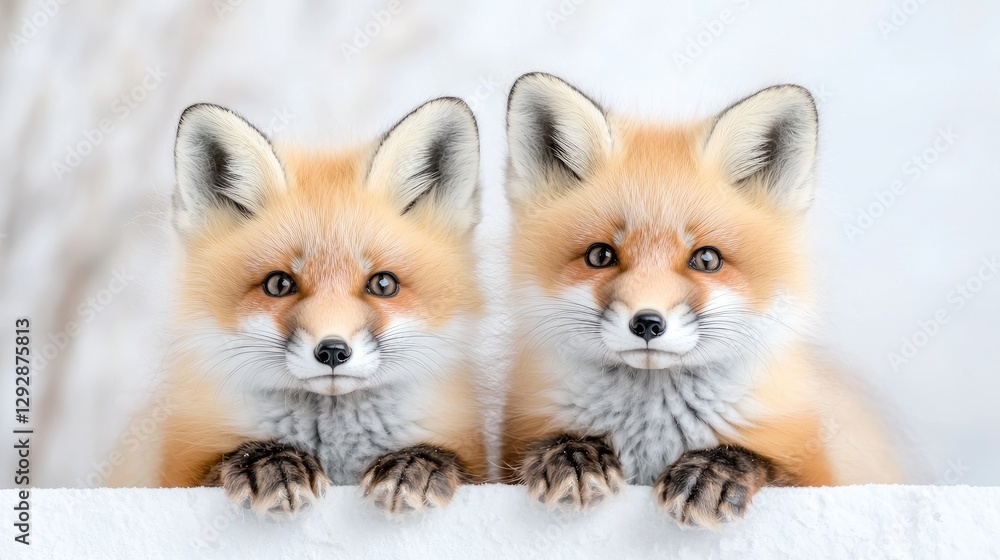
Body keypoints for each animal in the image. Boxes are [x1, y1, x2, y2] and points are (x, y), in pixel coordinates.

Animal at [111, 98, 487, 518]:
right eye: (279, 284)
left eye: (383, 284)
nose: (333, 351)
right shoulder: (171, 472)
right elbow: (223, 463)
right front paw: (270, 461)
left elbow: (457, 465)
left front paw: (413, 462)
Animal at [499, 73, 905, 527]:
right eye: (600, 256)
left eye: (706, 259)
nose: (647, 323)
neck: (653, 429)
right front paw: (573, 454)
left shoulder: (822, 474)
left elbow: (765, 464)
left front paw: (714, 468)